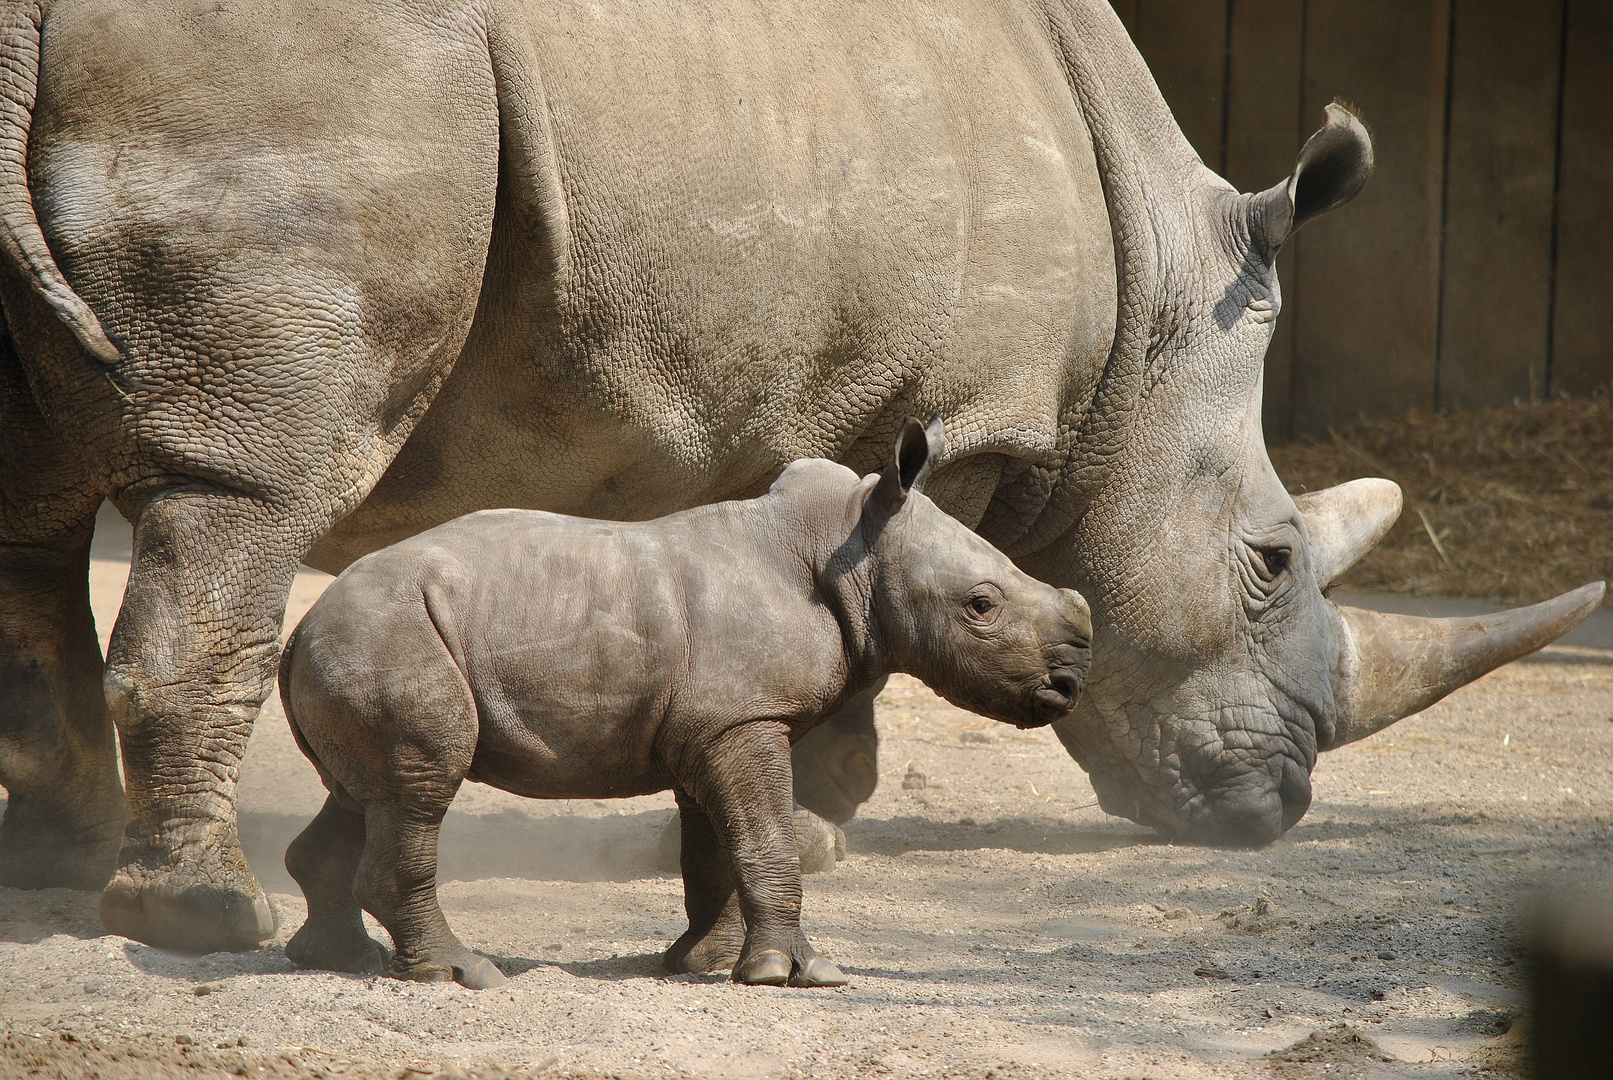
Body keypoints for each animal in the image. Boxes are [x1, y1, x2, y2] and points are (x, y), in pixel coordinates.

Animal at [283, 419, 1096, 992]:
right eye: (981, 606)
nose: (1070, 683)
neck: (847, 543)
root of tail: (299, 630)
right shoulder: (743, 719)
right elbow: (764, 838)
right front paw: (798, 974)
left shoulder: (716, 723)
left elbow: (717, 847)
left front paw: (706, 962)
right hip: (392, 636)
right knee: (420, 785)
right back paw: (460, 973)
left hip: (368, 639)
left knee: (367, 793)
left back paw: (340, 960)